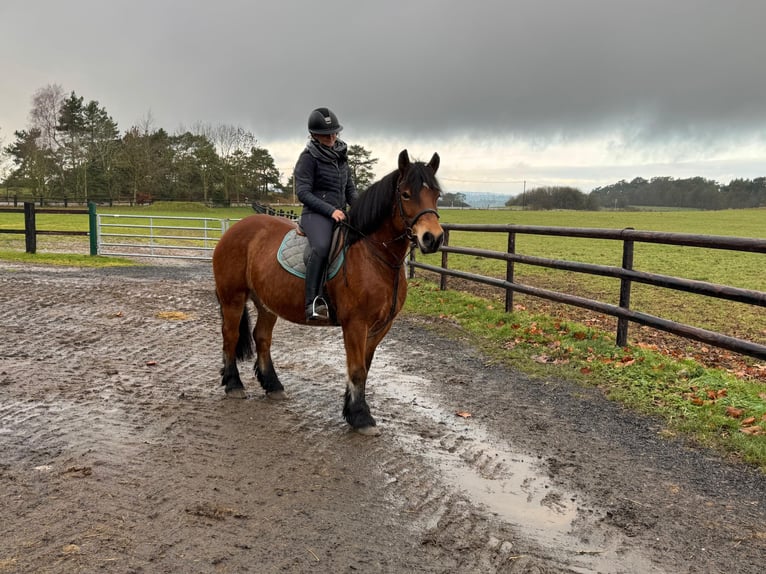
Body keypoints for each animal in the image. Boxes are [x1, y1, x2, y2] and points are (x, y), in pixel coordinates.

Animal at [212, 149, 443, 435]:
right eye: (406, 194)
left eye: (436, 194)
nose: (432, 238)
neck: (371, 253)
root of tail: (236, 228)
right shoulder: (355, 324)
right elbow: (357, 369)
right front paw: (361, 417)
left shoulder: (380, 327)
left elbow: (364, 368)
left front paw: (352, 410)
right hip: (232, 297)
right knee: (230, 336)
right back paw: (234, 385)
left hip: (267, 302)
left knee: (262, 337)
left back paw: (273, 386)